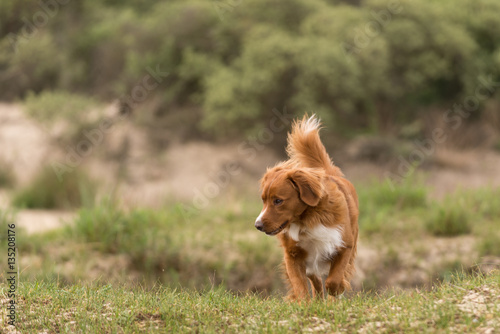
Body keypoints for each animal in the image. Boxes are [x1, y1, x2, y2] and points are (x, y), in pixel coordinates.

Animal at [254, 115, 360, 300]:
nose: (257, 225)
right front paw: (304, 303)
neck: (307, 221)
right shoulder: (292, 256)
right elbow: (301, 287)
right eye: (263, 200)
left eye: (278, 201)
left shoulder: (344, 245)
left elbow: (333, 280)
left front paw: (338, 289)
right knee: (315, 279)